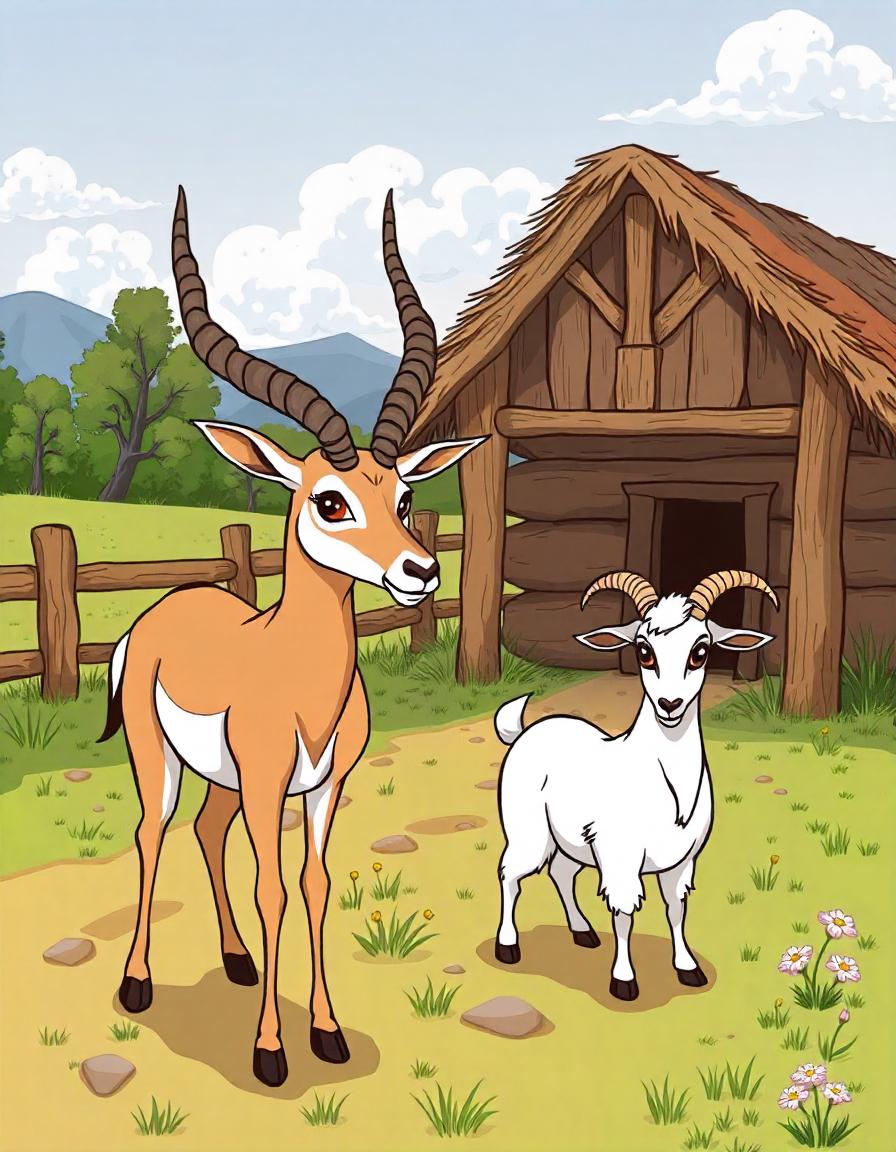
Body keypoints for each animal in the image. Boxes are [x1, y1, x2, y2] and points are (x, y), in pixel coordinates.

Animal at [101, 186, 483, 1087]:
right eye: (330, 499)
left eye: (404, 495)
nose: (420, 571)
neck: (298, 677)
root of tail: (157, 615)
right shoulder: (270, 782)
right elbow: (273, 888)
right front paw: (272, 1051)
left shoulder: (322, 785)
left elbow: (314, 884)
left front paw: (329, 1032)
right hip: (158, 755)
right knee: (152, 833)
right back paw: (136, 984)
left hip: (224, 780)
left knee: (205, 832)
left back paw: (238, 962)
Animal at [493, 570, 777, 1001]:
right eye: (644, 650)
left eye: (701, 651)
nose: (670, 704)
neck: (668, 789)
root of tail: (526, 730)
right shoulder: (621, 858)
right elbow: (625, 915)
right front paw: (624, 981)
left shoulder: (682, 861)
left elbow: (676, 911)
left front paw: (688, 968)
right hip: (527, 831)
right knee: (511, 874)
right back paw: (508, 946)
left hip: (570, 841)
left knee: (560, 873)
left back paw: (582, 932)